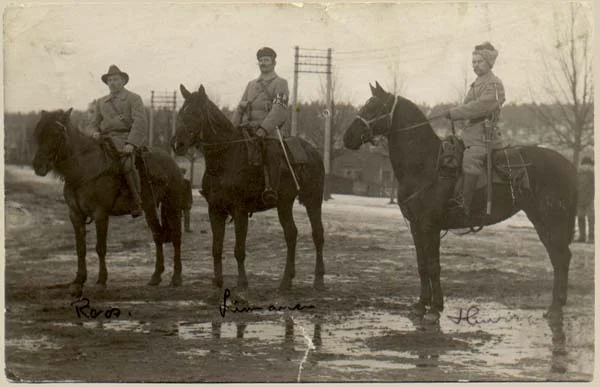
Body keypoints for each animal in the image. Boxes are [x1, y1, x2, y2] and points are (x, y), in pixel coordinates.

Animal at [32, 108, 183, 298]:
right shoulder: (75, 215)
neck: (84, 169)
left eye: (56, 133)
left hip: (173, 206)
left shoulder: (100, 214)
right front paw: (78, 281)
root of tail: (172, 162)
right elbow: (80, 248)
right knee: (157, 236)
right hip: (149, 208)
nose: (38, 166)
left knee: (176, 238)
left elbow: (100, 248)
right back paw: (156, 276)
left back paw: (176, 277)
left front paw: (101, 281)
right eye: (38, 132)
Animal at [171, 84, 326, 292]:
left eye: (196, 113)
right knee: (291, 233)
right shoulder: (215, 210)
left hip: (312, 200)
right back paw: (286, 281)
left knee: (317, 234)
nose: (177, 144)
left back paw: (318, 279)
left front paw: (242, 282)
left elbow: (239, 249)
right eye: (181, 113)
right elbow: (216, 248)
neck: (226, 157)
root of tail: (313, 151)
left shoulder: (240, 211)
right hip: (284, 203)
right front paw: (217, 281)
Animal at [344, 82, 580, 324]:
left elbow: (433, 266)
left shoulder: (430, 226)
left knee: (561, 257)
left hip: (553, 220)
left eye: (373, 107)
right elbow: (422, 266)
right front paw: (421, 305)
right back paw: (554, 307)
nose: (347, 137)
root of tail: (569, 165)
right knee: (557, 257)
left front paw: (434, 309)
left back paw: (556, 309)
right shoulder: (417, 227)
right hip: (541, 221)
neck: (425, 164)